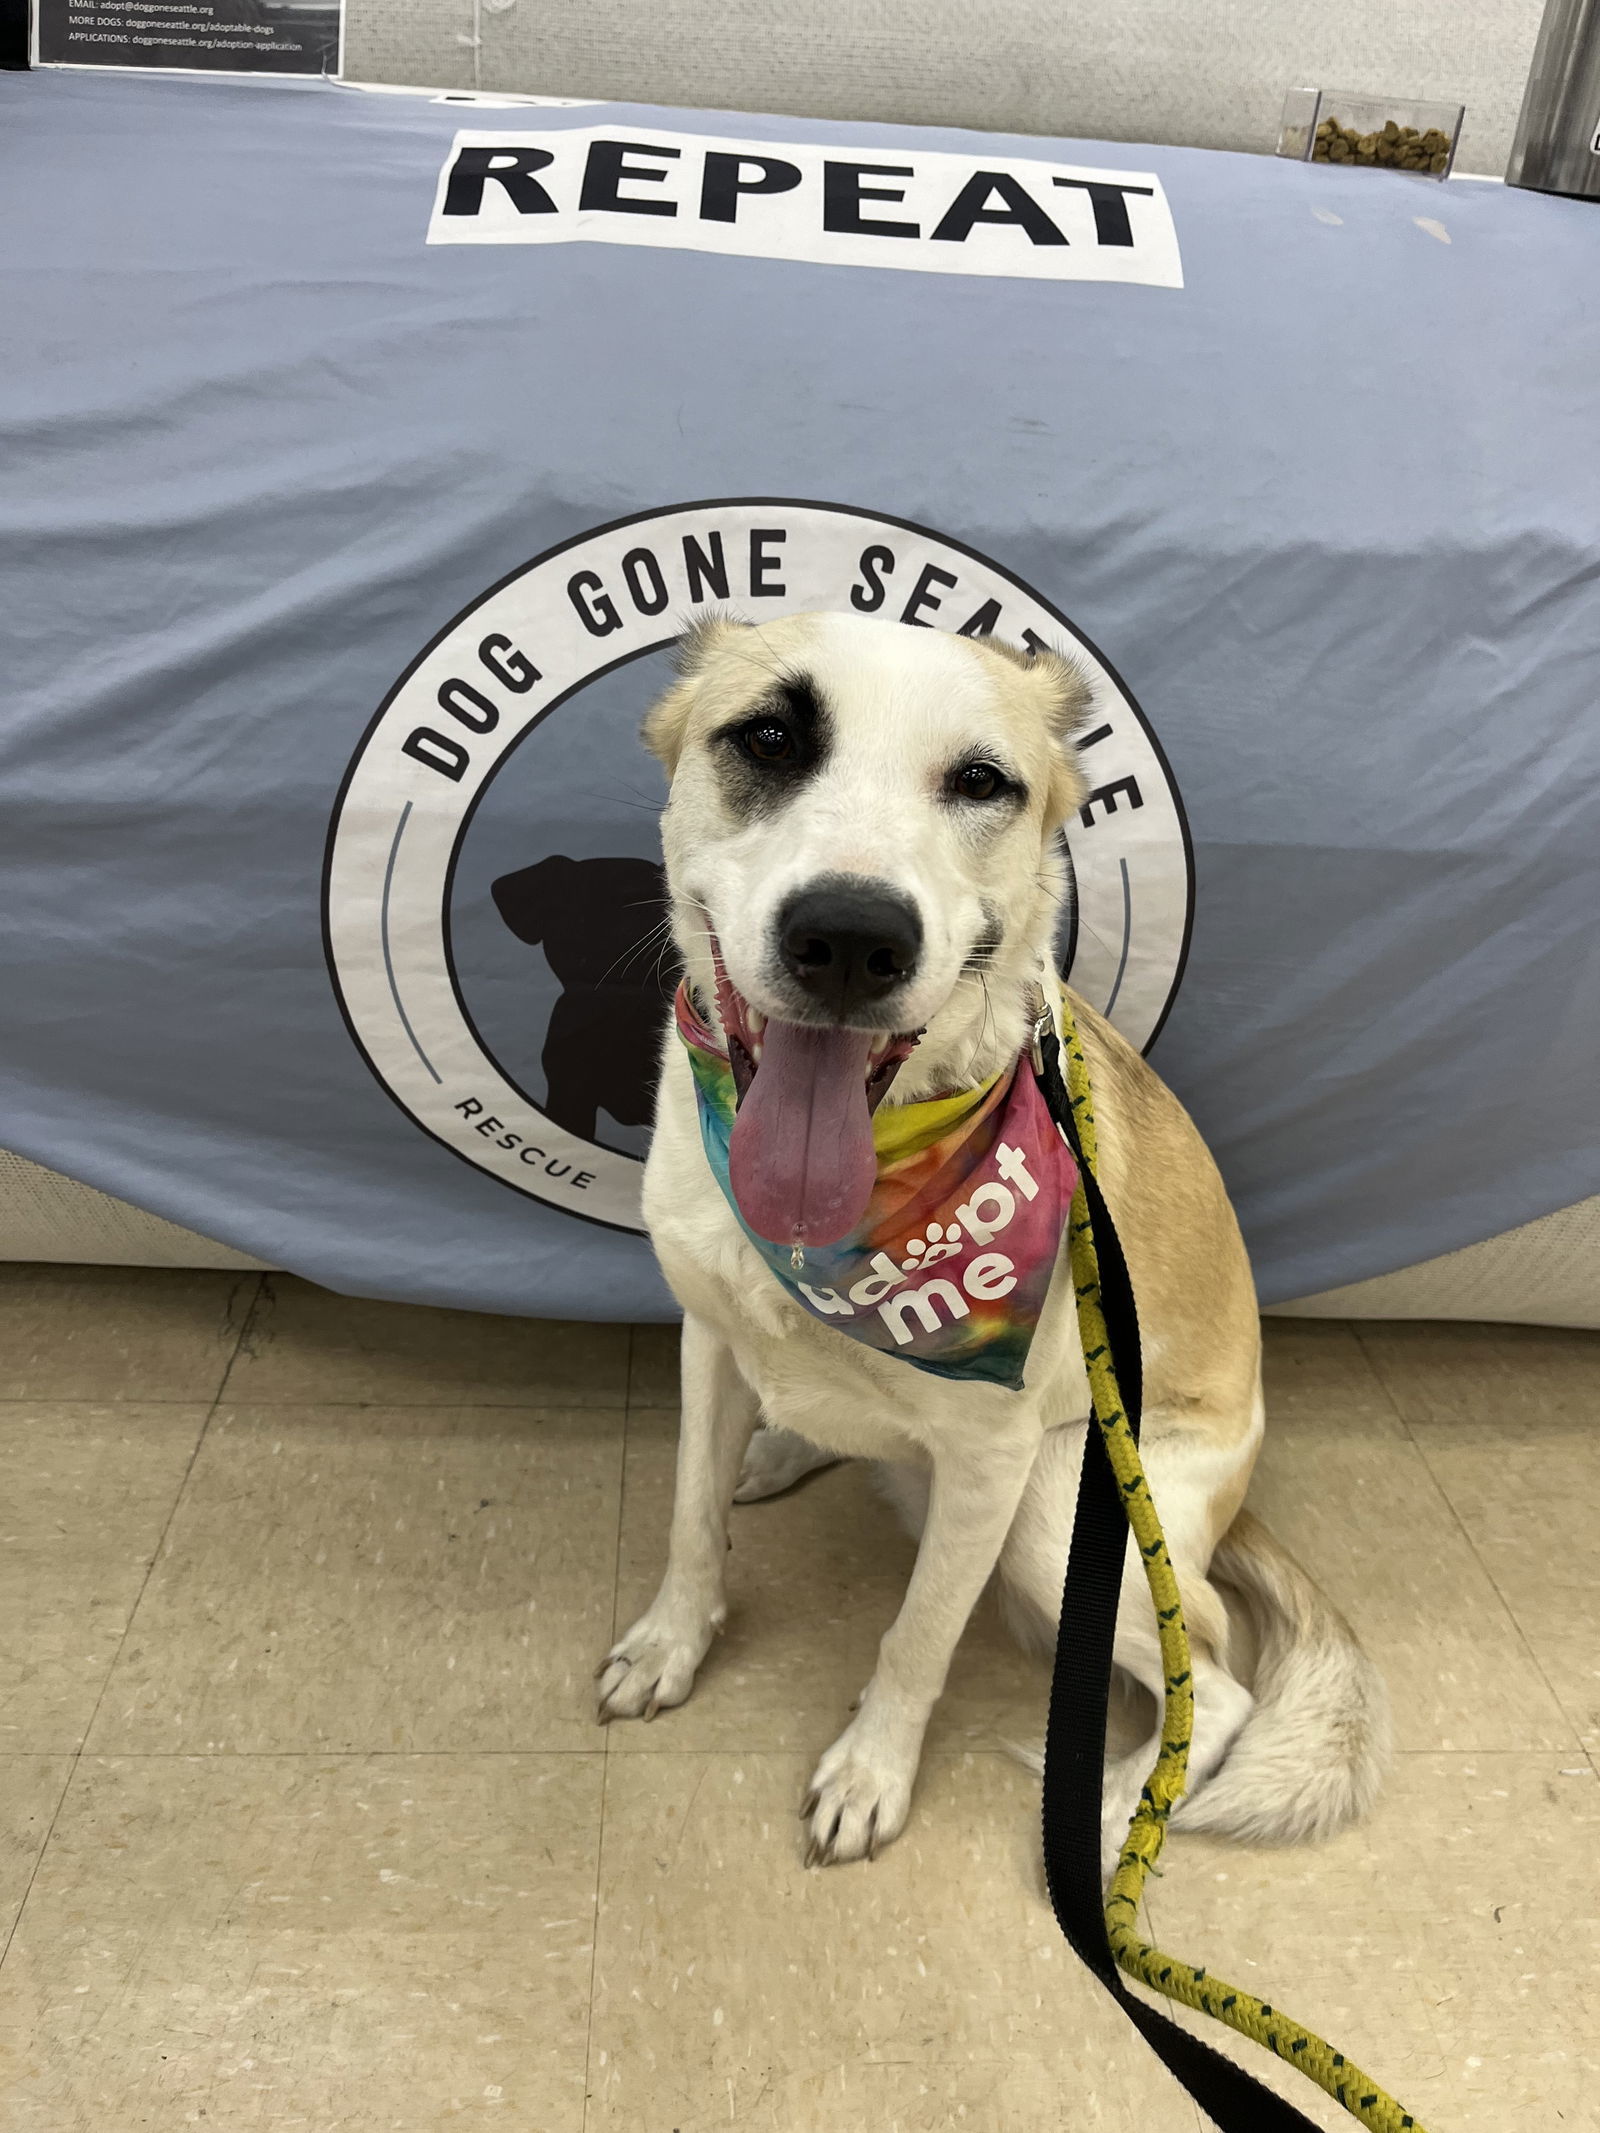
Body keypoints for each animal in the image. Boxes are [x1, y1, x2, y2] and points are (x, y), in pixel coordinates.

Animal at [601, 614, 1390, 1868]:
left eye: (981, 782)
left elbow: (918, 1635)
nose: (849, 938)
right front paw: (671, 1645)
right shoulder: (709, 1341)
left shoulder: (987, 1465)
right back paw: (782, 1448)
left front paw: (870, 1772)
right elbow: (687, 1520)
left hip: (1056, 1512)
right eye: (768, 738)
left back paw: (1118, 1812)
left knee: (1215, 1686)